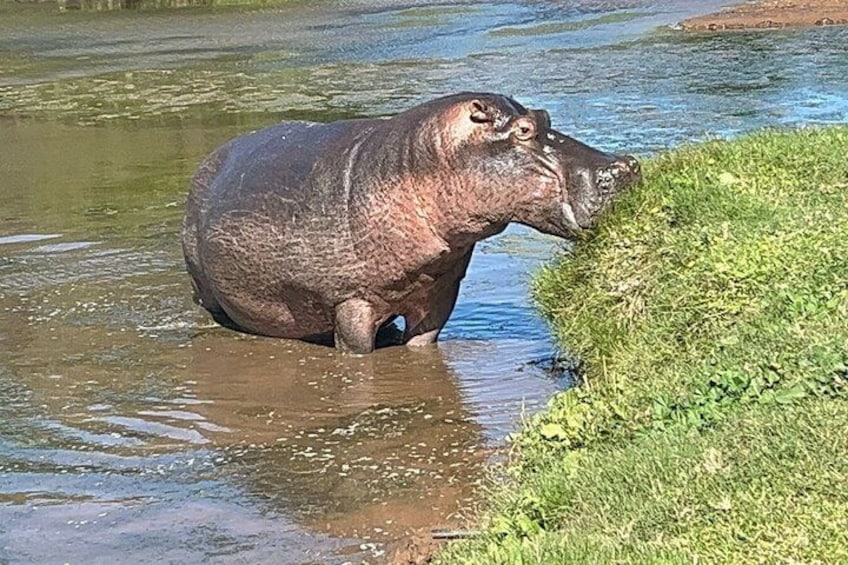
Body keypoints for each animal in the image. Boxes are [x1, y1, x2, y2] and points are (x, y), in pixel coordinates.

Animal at [182, 92, 640, 354]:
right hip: (204, 286)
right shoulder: (351, 303)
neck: (423, 164)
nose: (627, 164)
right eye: (525, 129)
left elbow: (422, 345)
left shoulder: (439, 293)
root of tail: (205, 161)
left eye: (545, 116)